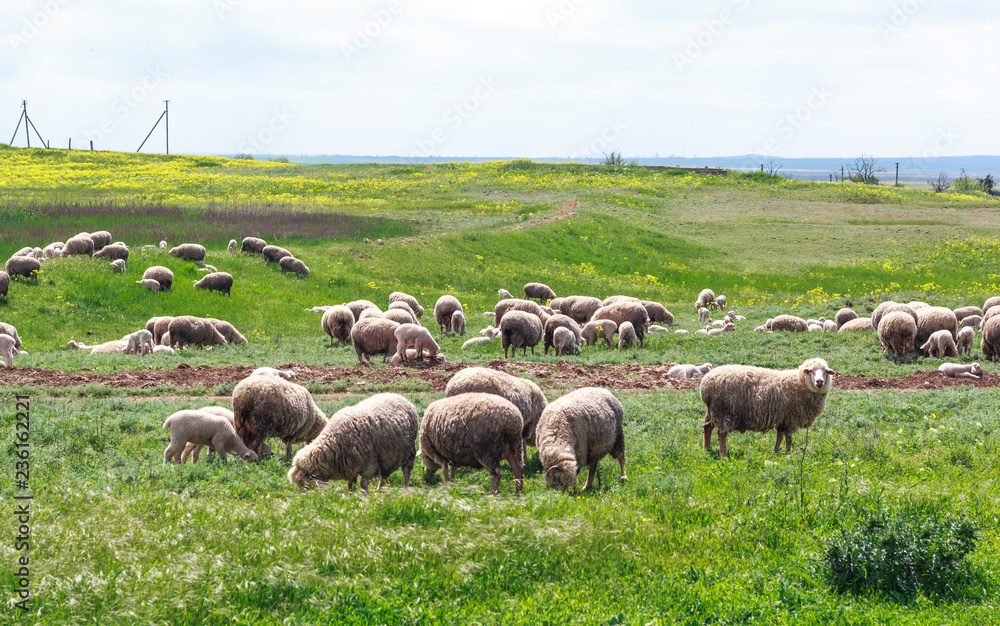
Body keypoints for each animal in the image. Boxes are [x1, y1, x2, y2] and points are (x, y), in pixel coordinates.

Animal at [288, 393, 418, 492]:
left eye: (303, 482)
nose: (306, 499)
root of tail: (400, 396)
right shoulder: (351, 466)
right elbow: (351, 484)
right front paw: (351, 495)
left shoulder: (369, 463)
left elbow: (363, 483)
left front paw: (364, 496)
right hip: (385, 458)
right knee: (383, 475)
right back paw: (379, 489)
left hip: (409, 450)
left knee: (406, 470)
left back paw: (405, 489)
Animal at [700, 357, 832, 458]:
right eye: (810, 371)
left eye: (825, 371)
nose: (819, 381)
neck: (799, 382)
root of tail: (705, 384)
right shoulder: (791, 419)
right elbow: (789, 439)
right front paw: (788, 453)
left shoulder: (782, 419)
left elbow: (779, 437)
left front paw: (776, 452)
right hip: (724, 411)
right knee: (722, 433)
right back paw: (723, 455)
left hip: (713, 411)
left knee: (707, 427)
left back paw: (707, 448)